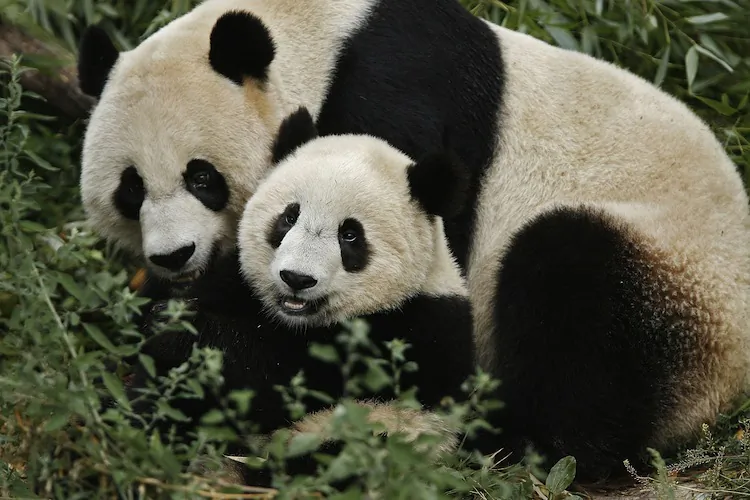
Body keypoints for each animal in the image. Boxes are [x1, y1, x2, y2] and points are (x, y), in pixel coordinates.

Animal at [127, 107, 476, 484]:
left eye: (350, 235)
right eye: (289, 216)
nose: (296, 278)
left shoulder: (408, 331)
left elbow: (281, 375)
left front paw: (182, 333)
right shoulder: (240, 284)